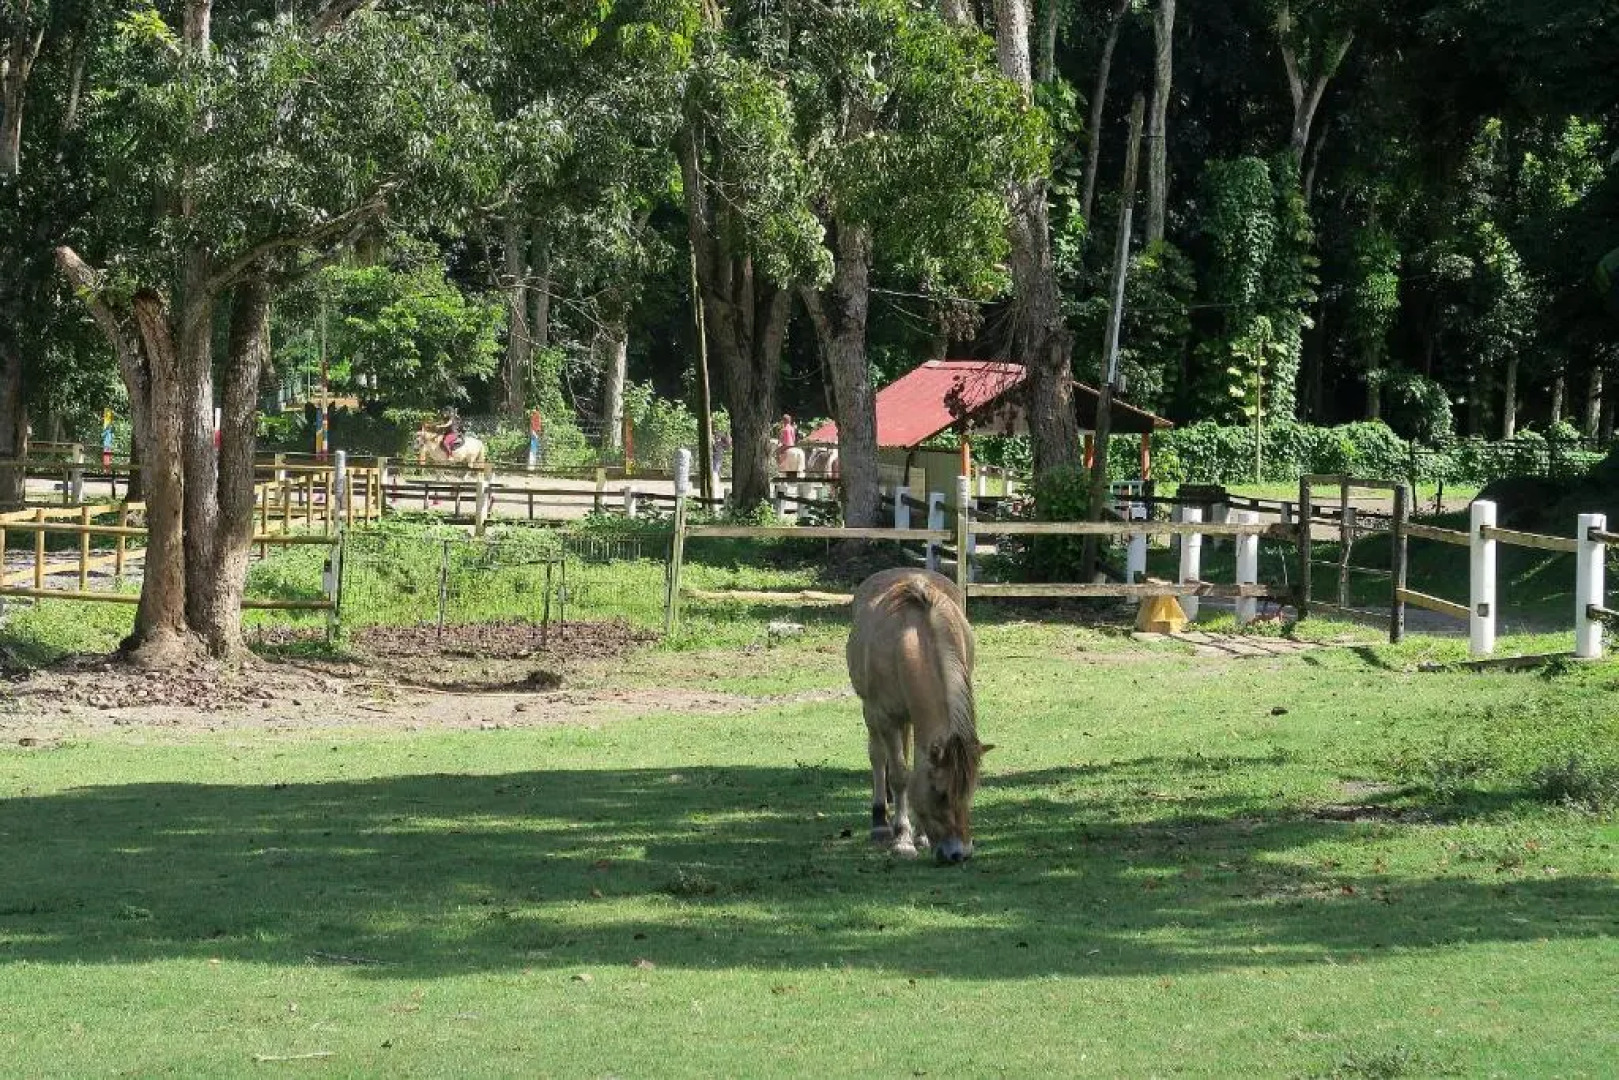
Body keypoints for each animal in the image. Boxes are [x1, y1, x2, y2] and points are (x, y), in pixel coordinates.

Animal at [846, 567, 991, 863]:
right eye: (939, 793)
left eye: (969, 792)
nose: (959, 853)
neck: (912, 637)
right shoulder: (886, 716)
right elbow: (900, 775)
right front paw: (902, 840)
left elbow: (914, 766)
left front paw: (920, 836)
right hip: (873, 714)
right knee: (878, 757)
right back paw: (881, 824)